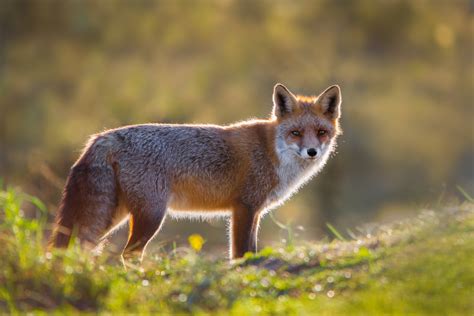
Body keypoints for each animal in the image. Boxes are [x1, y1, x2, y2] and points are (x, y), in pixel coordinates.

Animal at [48, 83, 342, 260]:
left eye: (321, 132)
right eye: (296, 133)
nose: (312, 152)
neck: (272, 152)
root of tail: (103, 137)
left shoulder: (254, 211)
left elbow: (251, 251)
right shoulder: (244, 207)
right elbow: (240, 253)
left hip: (115, 216)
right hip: (151, 215)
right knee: (128, 254)